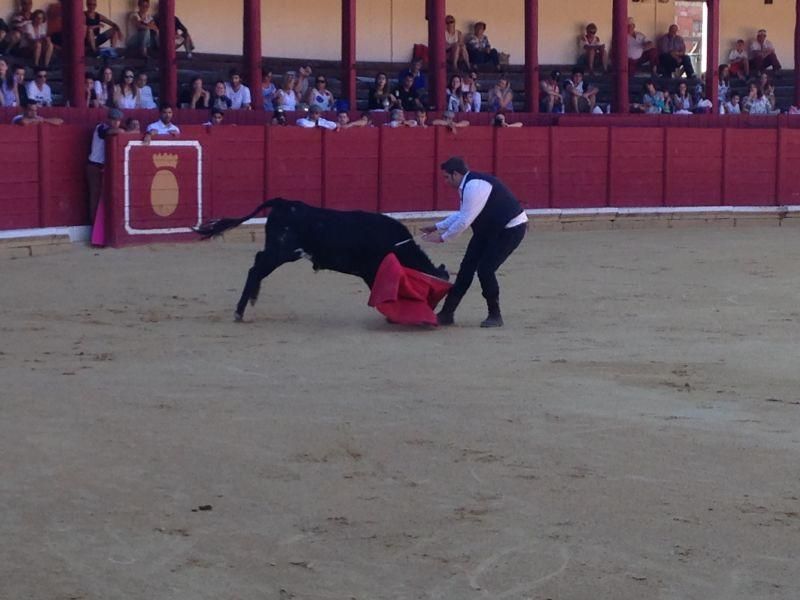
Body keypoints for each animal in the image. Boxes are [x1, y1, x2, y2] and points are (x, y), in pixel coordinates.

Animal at [191, 198, 446, 322]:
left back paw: (250, 301)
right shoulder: (371, 271)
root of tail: (284, 202)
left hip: (279, 251)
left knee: (257, 264)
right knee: (256, 269)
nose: (434, 312)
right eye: (432, 293)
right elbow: (381, 291)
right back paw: (239, 312)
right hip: (282, 252)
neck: (396, 243)